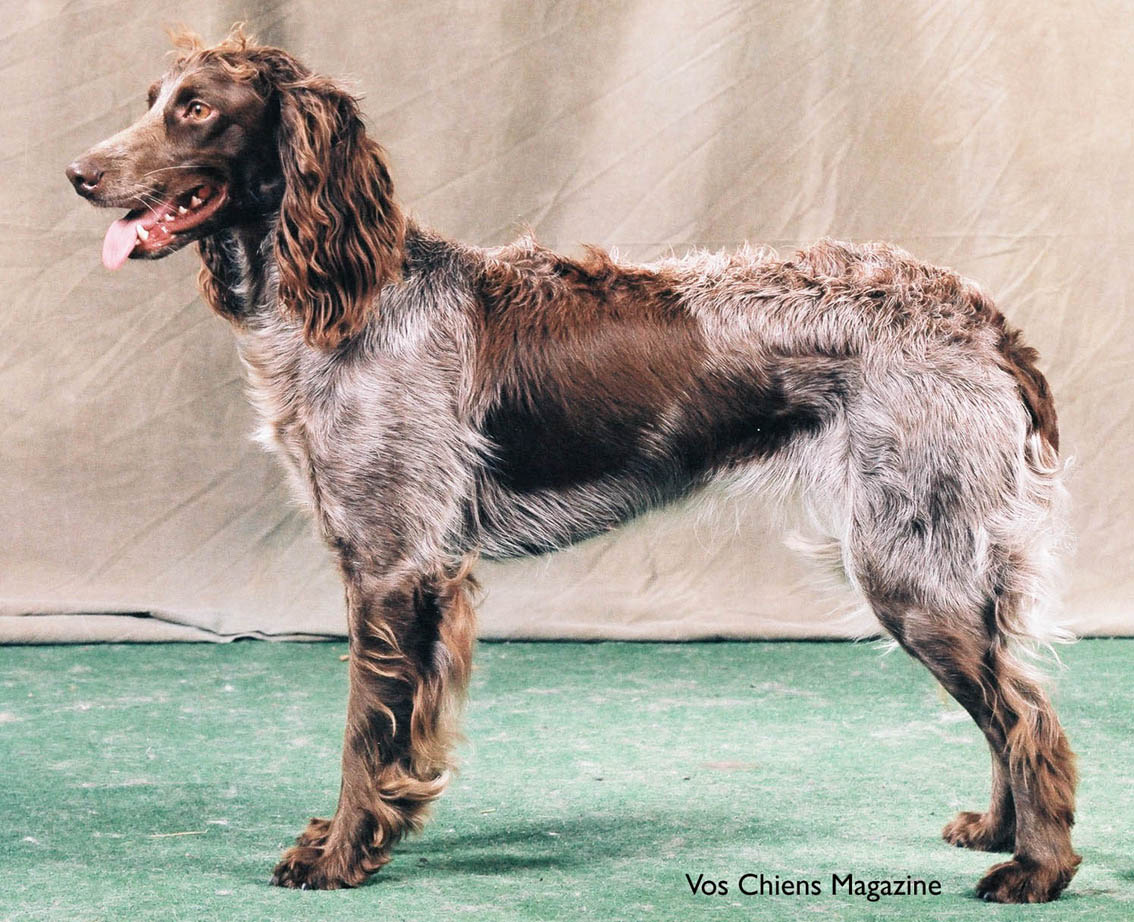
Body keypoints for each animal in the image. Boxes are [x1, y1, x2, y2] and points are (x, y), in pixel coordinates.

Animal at [64, 26, 1079, 898]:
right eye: (152, 102)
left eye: (197, 109)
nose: (77, 174)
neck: (354, 297)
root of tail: (980, 318)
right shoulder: (416, 571)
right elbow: (402, 736)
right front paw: (375, 832)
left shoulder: (392, 566)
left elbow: (364, 730)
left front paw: (341, 855)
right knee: (1010, 701)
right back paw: (1000, 829)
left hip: (909, 564)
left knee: (1025, 712)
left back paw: (1037, 868)